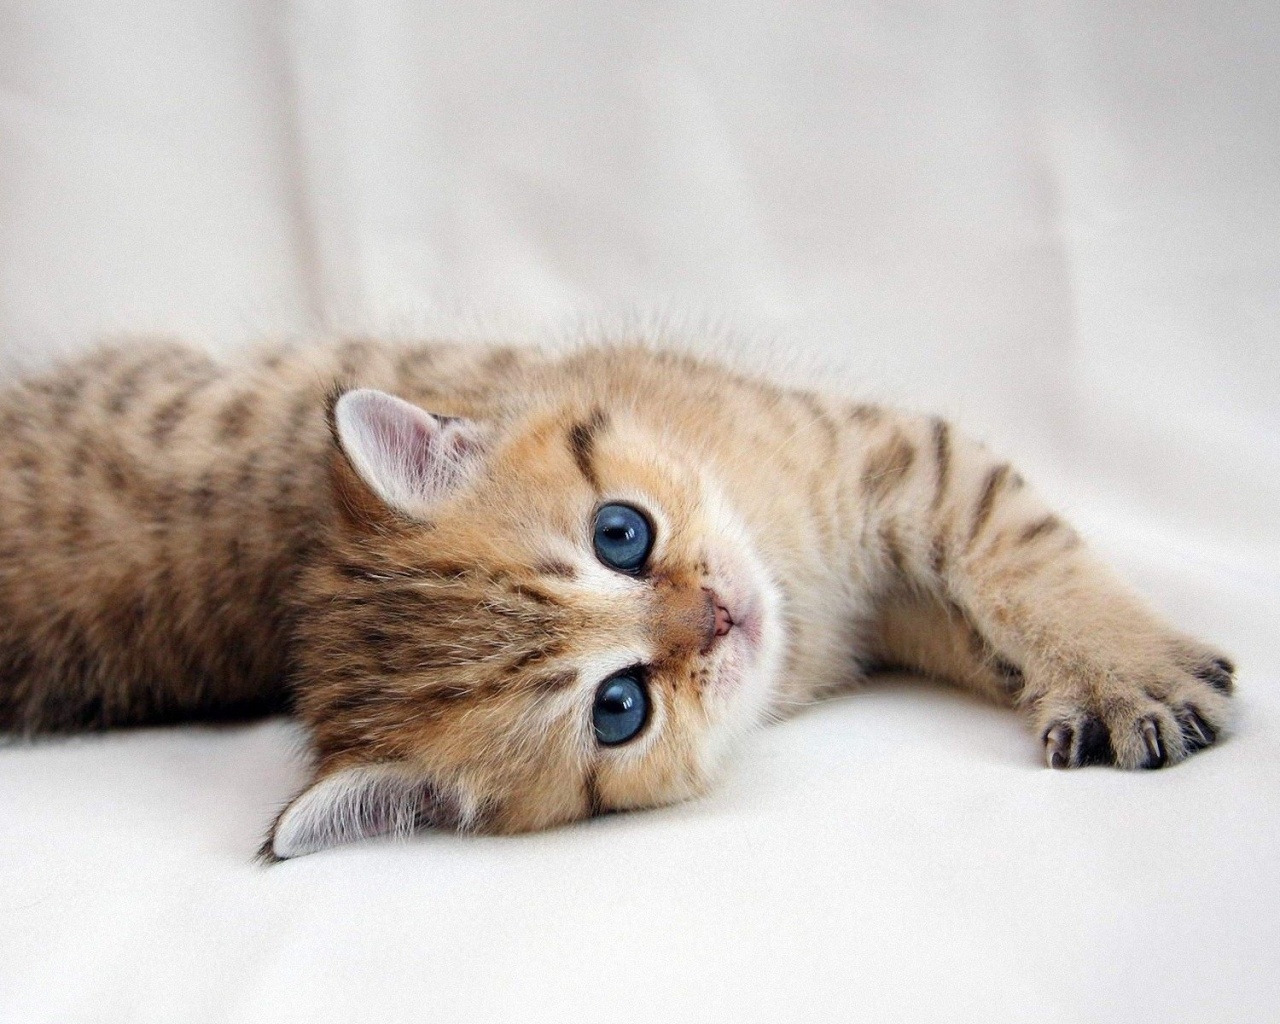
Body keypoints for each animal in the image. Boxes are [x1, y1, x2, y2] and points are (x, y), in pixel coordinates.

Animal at [0, 336, 1234, 859]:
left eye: (621, 532)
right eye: (619, 707)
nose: (720, 617)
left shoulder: (890, 462)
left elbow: (1020, 561)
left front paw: (1123, 666)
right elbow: (992, 585)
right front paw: (1103, 677)